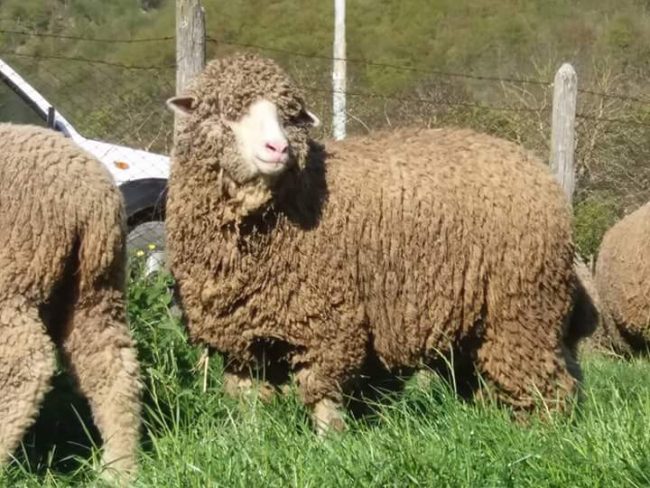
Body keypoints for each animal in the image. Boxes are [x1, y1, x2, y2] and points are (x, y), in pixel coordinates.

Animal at [0, 123, 142, 481]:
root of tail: (90, 194)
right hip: (94, 285)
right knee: (111, 366)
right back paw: (119, 469)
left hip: (14, 274)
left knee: (24, 365)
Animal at [165, 52, 589, 433]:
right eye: (226, 112)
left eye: (288, 117)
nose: (278, 149)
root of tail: (537, 168)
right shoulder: (240, 331)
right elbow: (249, 399)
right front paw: (250, 440)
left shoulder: (327, 317)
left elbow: (324, 395)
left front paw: (329, 444)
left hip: (524, 306)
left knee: (548, 380)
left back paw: (540, 433)